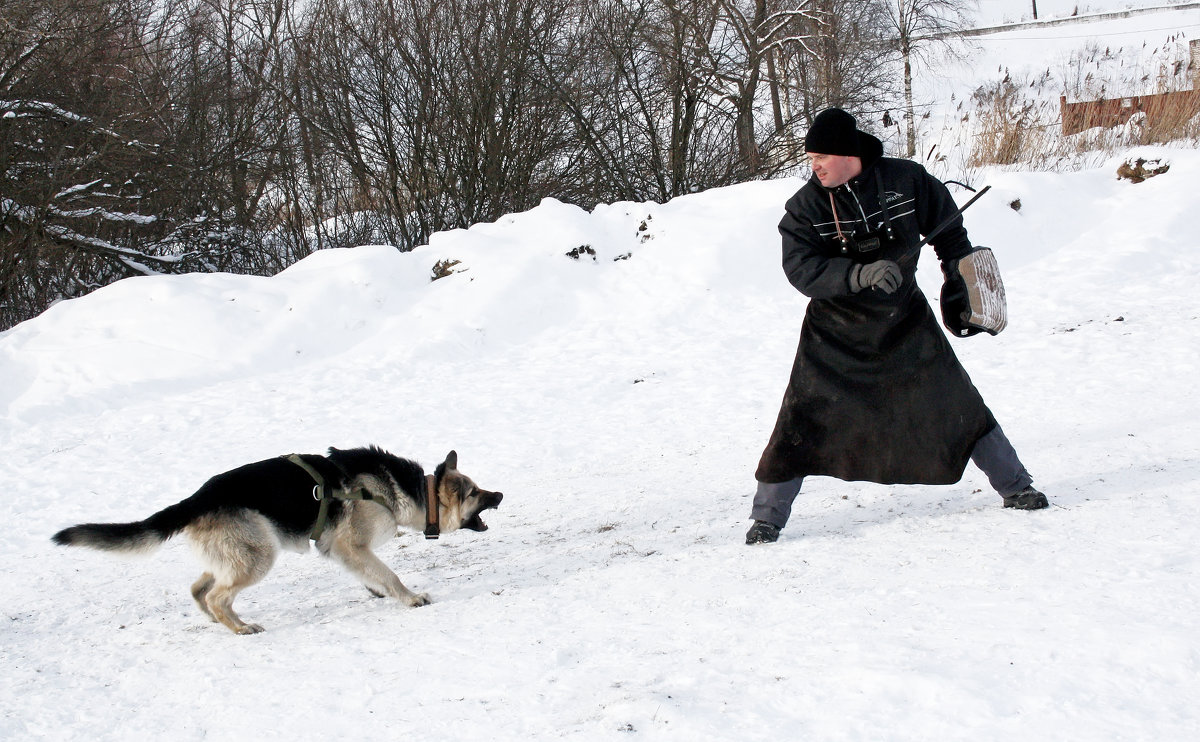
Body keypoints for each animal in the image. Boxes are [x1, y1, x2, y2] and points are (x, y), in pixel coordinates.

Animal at [50, 441, 501, 633]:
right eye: (475, 493)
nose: (499, 495)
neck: (410, 490)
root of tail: (196, 498)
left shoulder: (344, 551)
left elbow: (371, 574)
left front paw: (378, 591)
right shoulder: (350, 545)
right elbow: (388, 573)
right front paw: (409, 598)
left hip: (238, 553)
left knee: (200, 589)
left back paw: (216, 619)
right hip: (259, 555)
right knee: (218, 595)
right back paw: (238, 627)